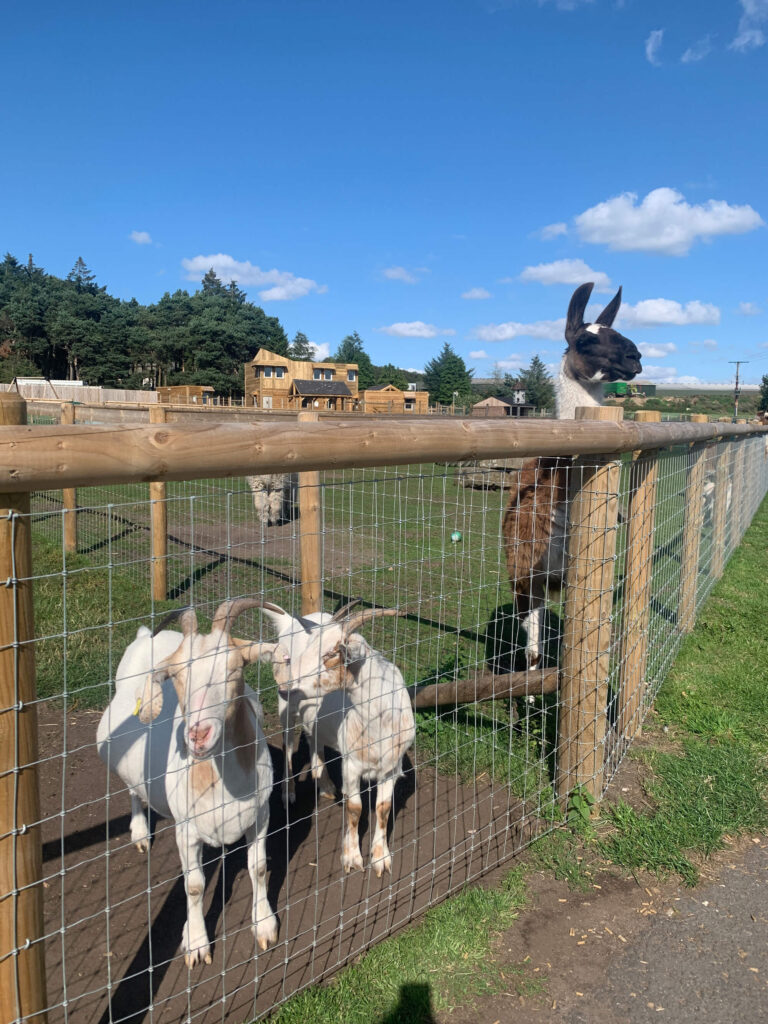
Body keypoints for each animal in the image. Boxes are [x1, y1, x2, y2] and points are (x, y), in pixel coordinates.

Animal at [96, 599, 284, 967]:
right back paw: (140, 833)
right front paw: (196, 943)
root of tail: (146, 636)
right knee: (133, 791)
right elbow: (194, 885)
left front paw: (265, 924)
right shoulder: (186, 831)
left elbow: (257, 867)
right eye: (177, 675)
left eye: (234, 670)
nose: (197, 735)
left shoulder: (261, 815)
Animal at [257, 601, 414, 875]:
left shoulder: (391, 767)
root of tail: (290, 620)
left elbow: (383, 809)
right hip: (285, 710)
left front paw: (381, 859)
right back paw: (289, 793)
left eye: (329, 654)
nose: (286, 685)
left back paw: (326, 784)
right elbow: (355, 808)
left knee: (314, 738)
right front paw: (352, 858)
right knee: (288, 744)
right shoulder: (351, 765)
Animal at [502, 282, 642, 667]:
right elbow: (532, 646)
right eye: (585, 340)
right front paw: (532, 680)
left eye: (617, 332)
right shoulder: (527, 571)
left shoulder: (574, 573)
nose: (635, 356)